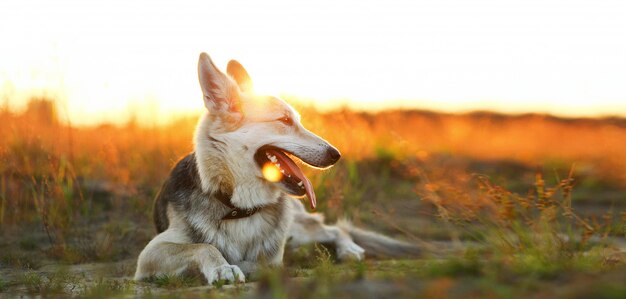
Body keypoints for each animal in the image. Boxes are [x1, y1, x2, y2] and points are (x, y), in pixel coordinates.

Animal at [136, 52, 420, 284]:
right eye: (284, 120)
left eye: (298, 120)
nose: (336, 154)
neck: (240, 209)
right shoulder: (149, 255)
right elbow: (203, 247)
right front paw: (223, 267)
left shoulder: (272, 257)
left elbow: (262, 263)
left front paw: (241, 266)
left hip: (297, 230)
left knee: (334, 229)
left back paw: (348, 249)